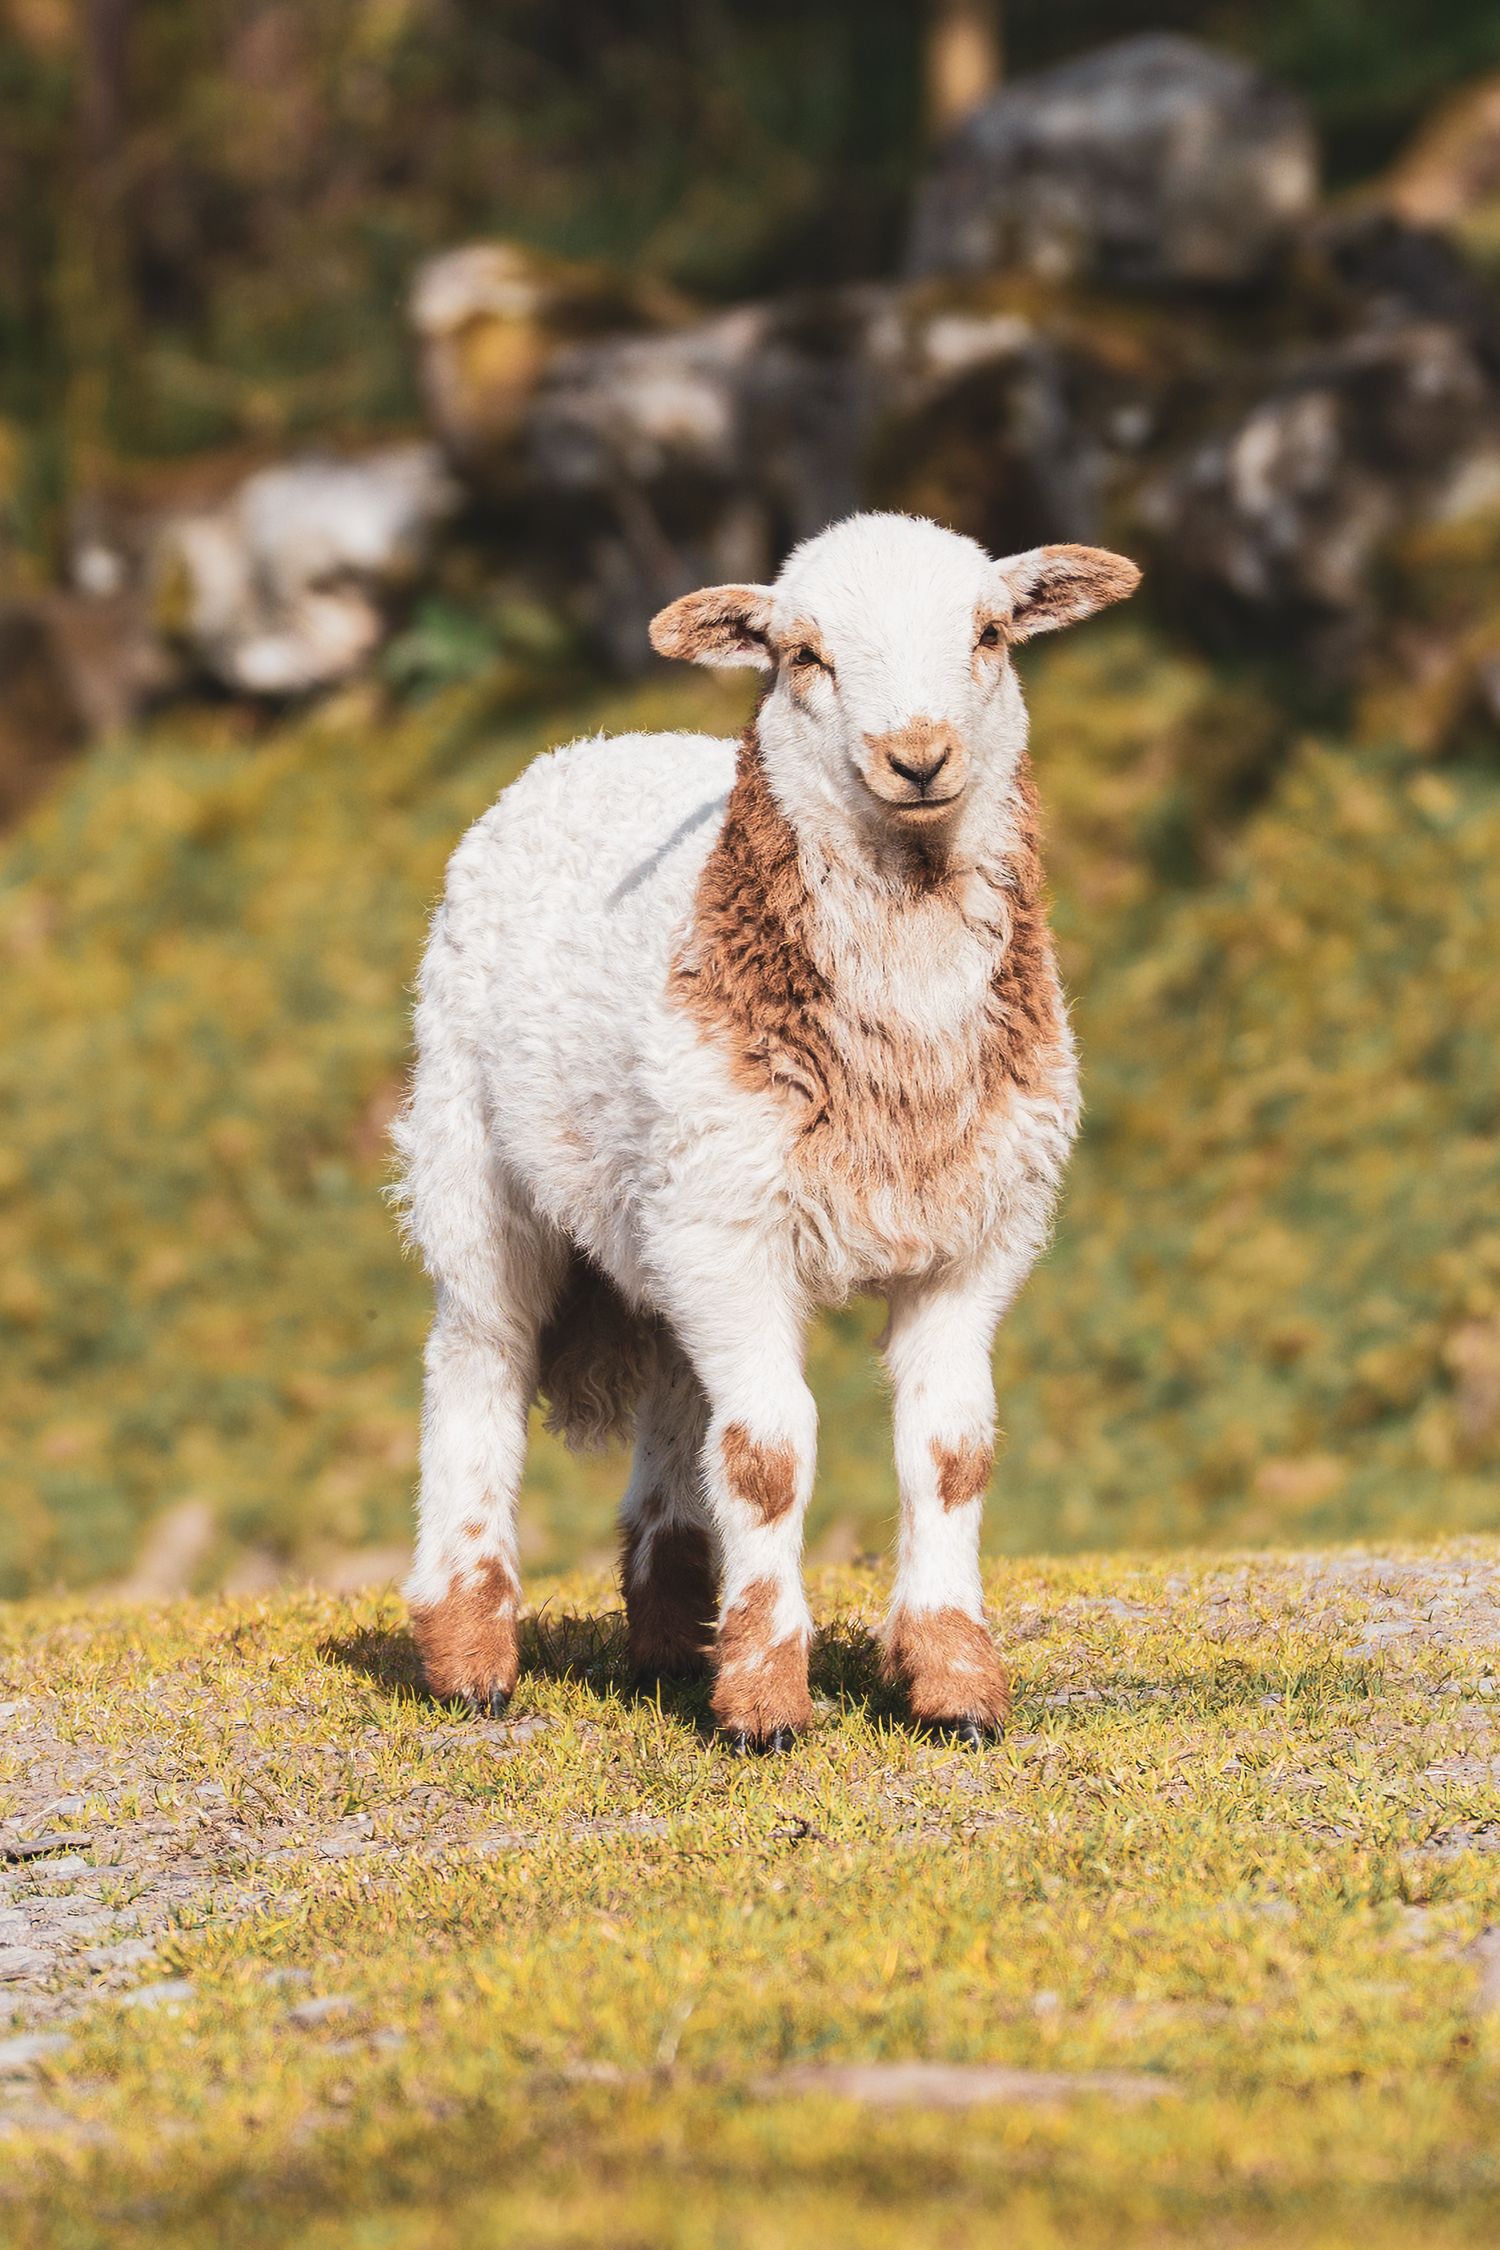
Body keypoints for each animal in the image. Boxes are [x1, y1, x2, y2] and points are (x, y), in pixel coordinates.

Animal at [394, 510, 1139, 1749]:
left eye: (990, 633)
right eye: (804, 656)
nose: (919, 757)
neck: (901, 1071)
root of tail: (592, 743)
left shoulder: (972, 1236)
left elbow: (949, 1452)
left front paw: (954, 1682)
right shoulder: (733, 1232)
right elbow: (768, 1459)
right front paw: (764, 1705)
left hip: (666, 1203)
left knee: (677, 1389)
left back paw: (667, 1632)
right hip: (478, 1156)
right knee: (477, 1364)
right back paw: (469, 1652)